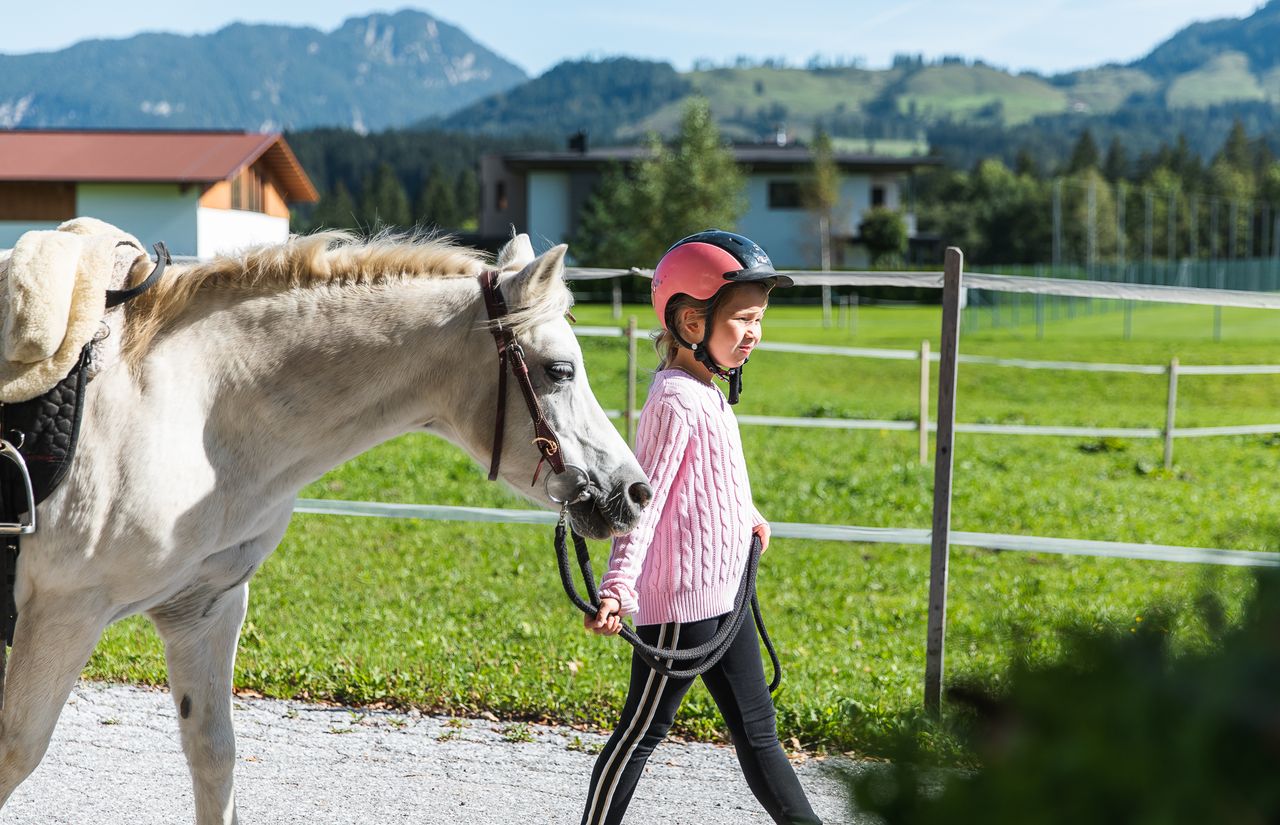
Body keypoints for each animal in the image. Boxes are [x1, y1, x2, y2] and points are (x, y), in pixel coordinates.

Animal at [0, 231, 645, 823]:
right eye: (560, 370)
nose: (634, 491)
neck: (192, 405)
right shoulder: (64, 612)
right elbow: (17, 751)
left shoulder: (202, 612)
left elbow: (214, 756)